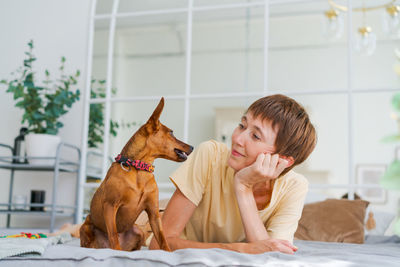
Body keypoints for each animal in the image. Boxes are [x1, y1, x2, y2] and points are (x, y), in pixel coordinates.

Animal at [79, 98, 192, 251]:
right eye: (172, 133)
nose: (192, 147)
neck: (140, 169)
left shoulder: (153, 213)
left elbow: (162, 239)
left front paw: (168, 252)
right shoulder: (110, 206)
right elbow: (113, 236)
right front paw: (117, 251)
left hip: (138, 230)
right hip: (86, 226)